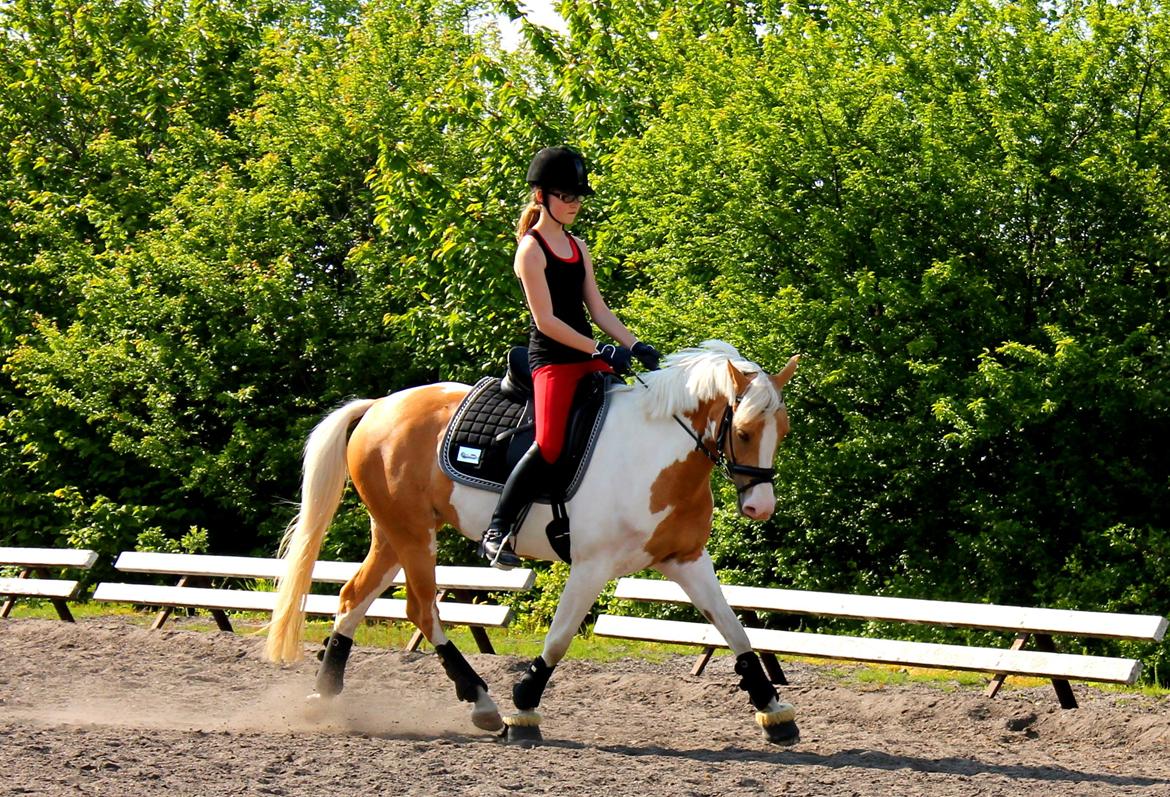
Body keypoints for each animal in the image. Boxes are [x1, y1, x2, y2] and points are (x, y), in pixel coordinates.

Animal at [265, 340, 801, 744]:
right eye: (745, 431)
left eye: (784, 430)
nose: (760, 507)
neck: (656, 453)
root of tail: (380, 406)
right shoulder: (591, 565)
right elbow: (559, 638)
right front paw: (523, 708)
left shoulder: (685, 560)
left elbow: (735, 629)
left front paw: (774, 711)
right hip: (413, 534)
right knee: (421, 609)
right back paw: (481, 701)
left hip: (395, 534)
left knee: (352, 597)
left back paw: (324, 694)